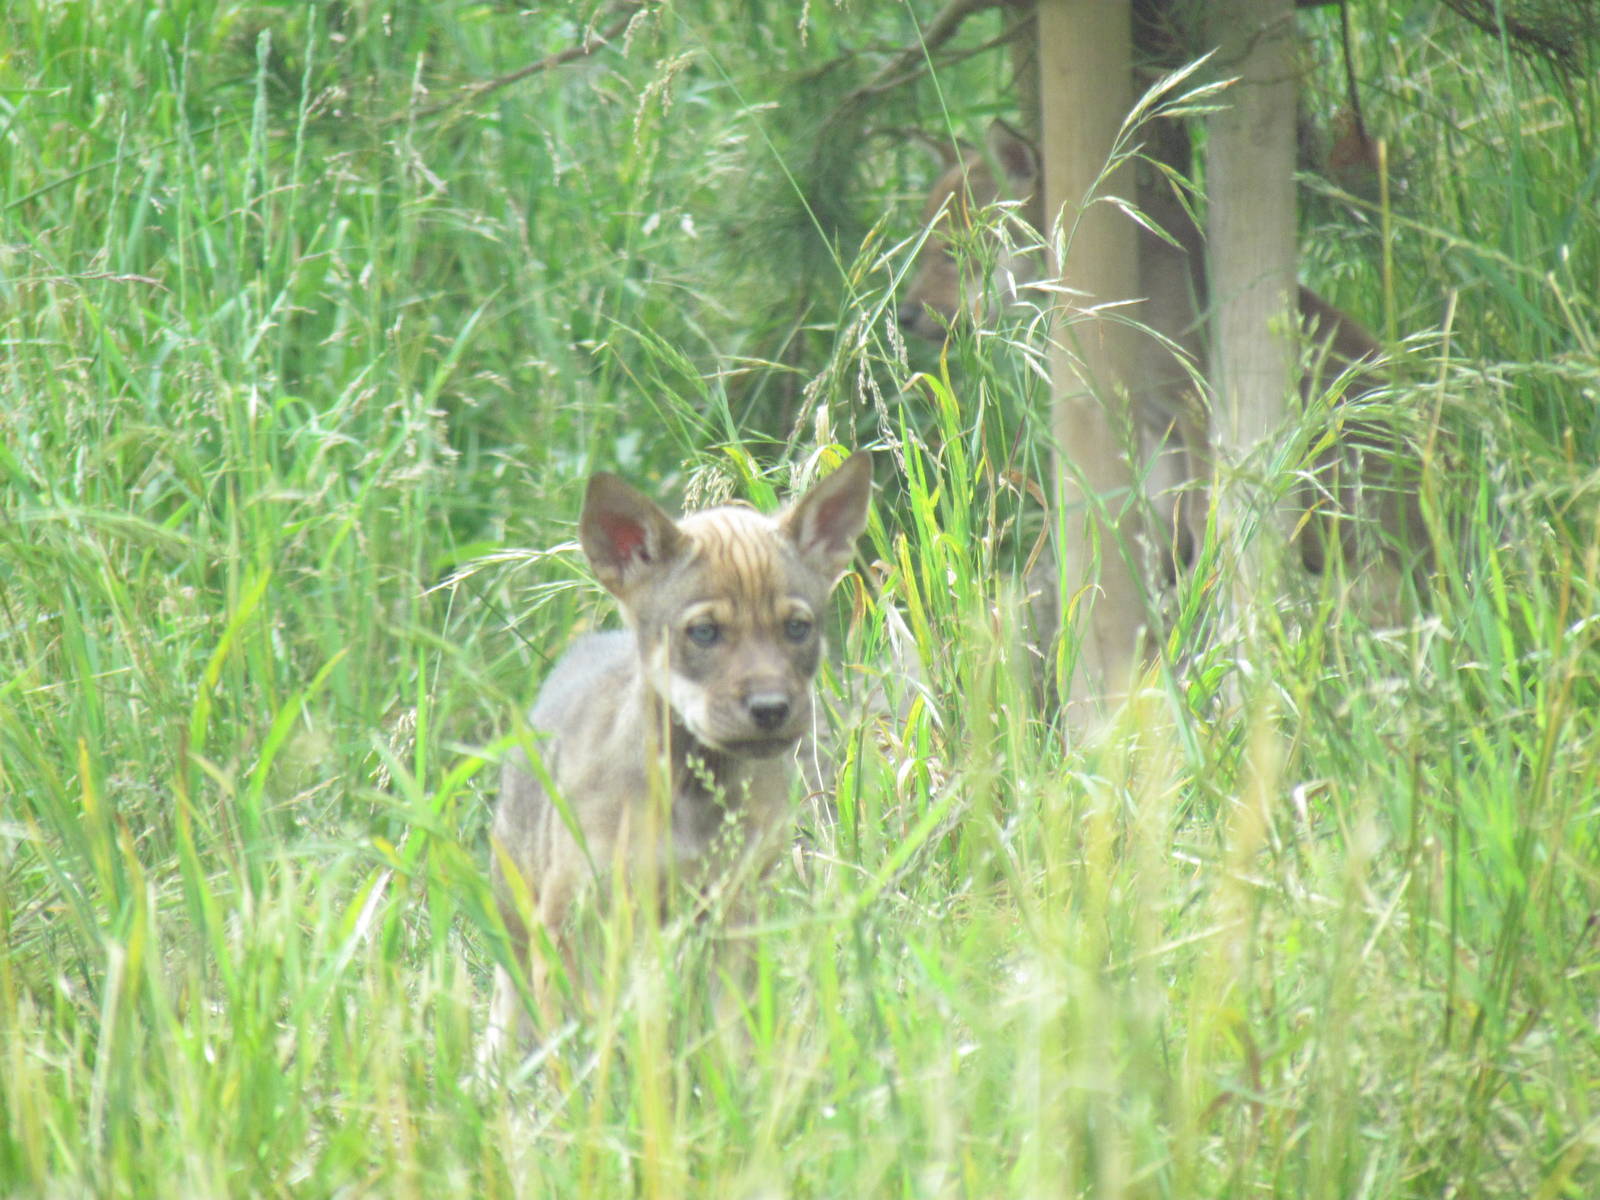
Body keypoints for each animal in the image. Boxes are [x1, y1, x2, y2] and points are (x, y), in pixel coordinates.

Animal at [485, 452, 873, 1058]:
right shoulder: (570, 923)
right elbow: (576, 1047)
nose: (771, 709)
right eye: (705, 632)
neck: (691, 790)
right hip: (522, 926)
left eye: (797, 627)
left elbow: (731, 1037)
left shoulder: (733, 913)